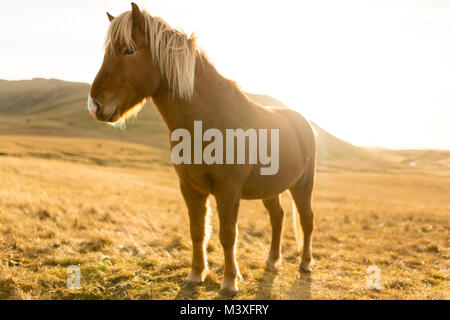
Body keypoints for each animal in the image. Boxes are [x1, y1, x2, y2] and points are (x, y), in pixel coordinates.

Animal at [89, 2, 316, 296]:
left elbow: (227, 235)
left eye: (129, 50)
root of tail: (303, 122)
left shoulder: (227, 190)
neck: (206, 120)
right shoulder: (190, 187)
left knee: (307, 219)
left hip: (302, 185)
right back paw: (272, 260)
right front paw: (196, 274)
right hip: (271, 188)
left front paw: (230, 281)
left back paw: (305, 264)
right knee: (277, 217)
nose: (94, 105)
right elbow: (197, 230)